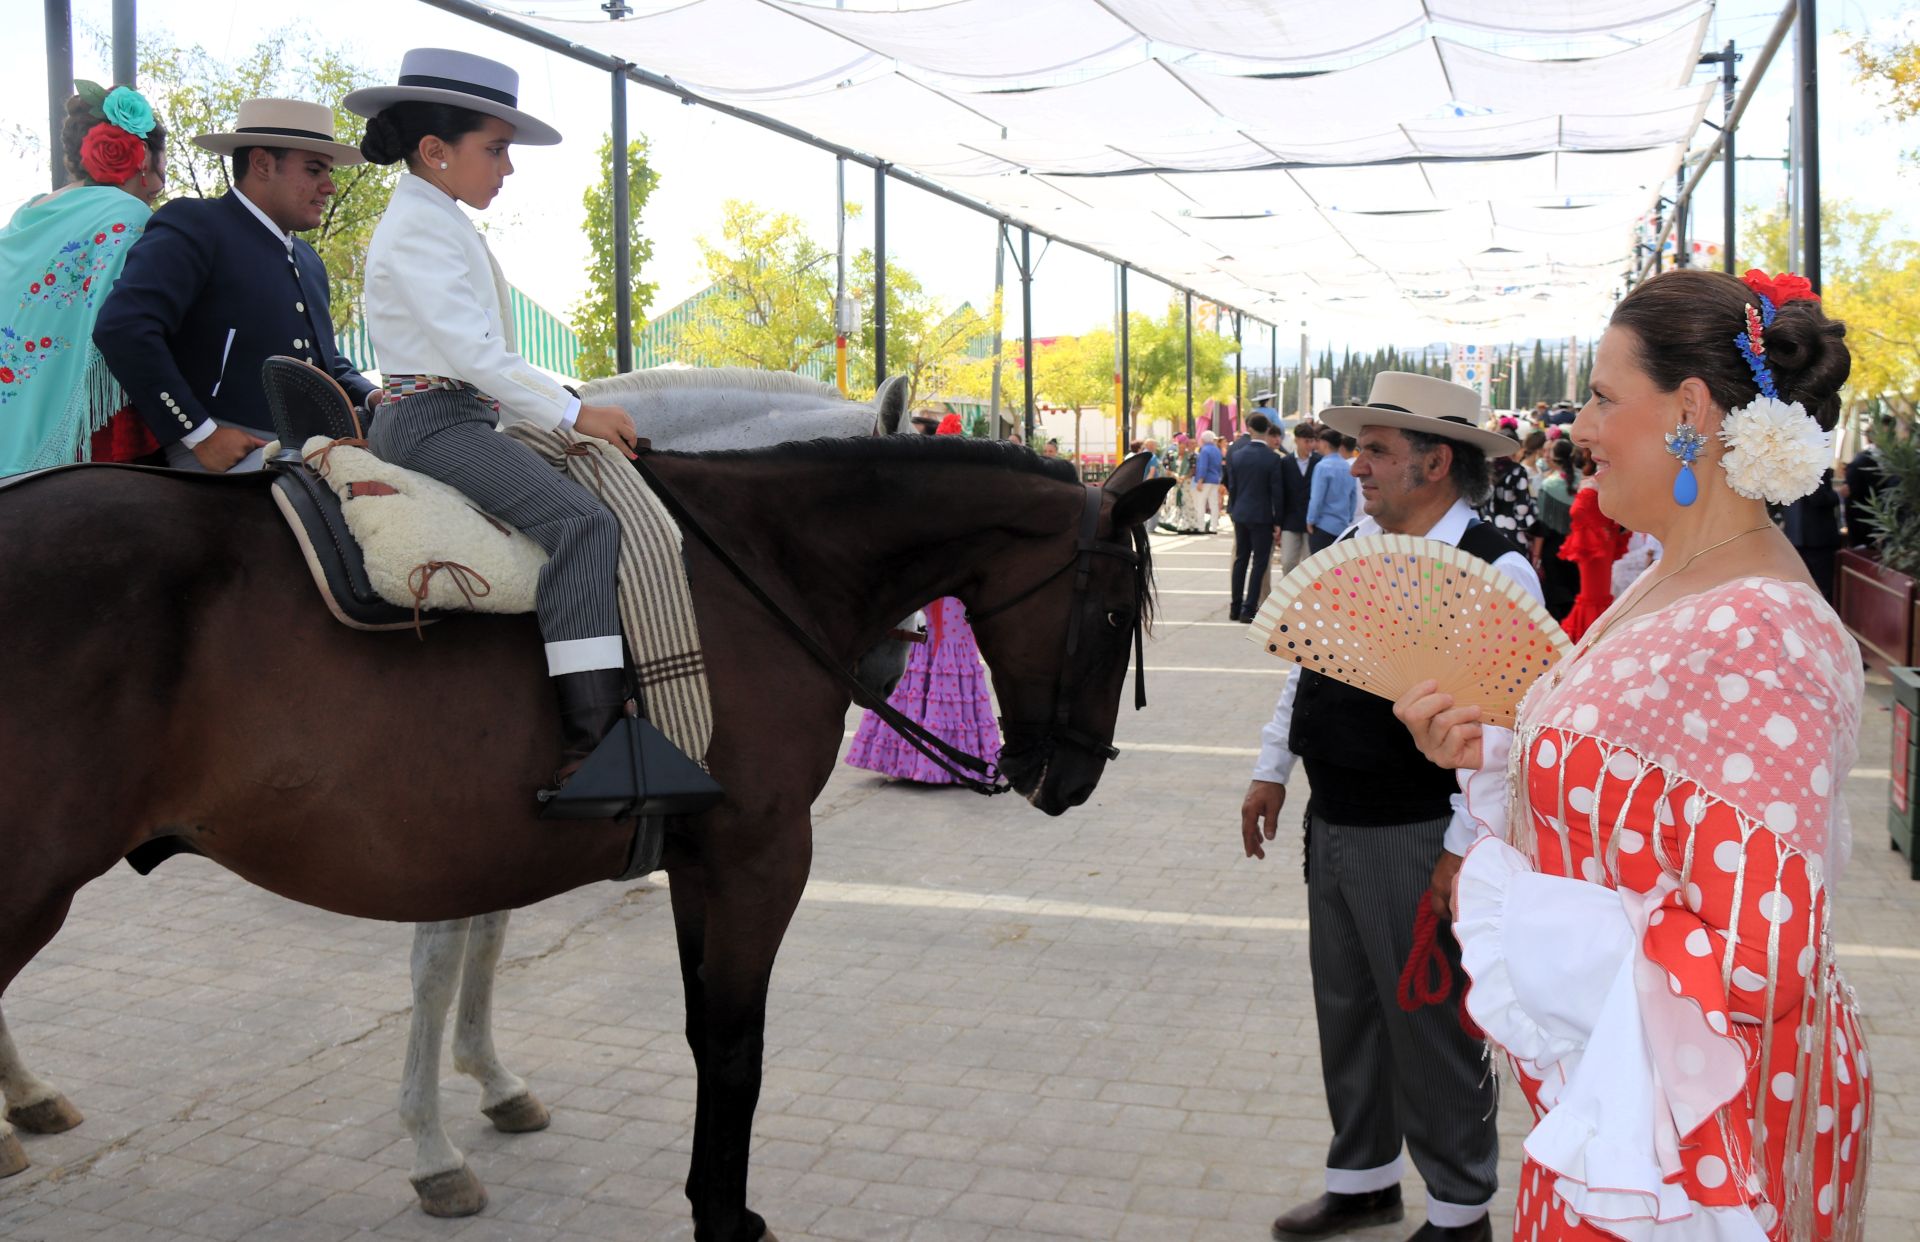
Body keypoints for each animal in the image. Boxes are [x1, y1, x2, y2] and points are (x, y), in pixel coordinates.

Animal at [0, 439, 1167, 1242]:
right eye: (1115, 614)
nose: (1069, 779)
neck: (758, 570)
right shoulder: (761, 858)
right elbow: (735, 1049)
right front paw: (723, 1218)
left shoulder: (696, 863)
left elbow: (697, 1035)